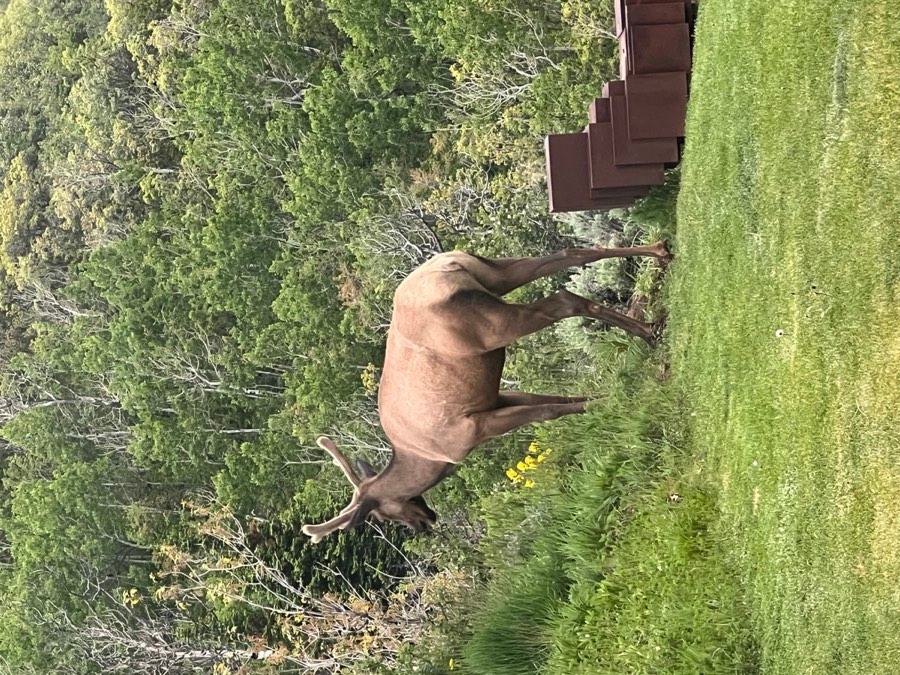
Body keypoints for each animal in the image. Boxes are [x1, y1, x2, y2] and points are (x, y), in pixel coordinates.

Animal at [302, 241, 670, 542]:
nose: (423, 523)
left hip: (493, 325)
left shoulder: (474, 427)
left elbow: (548, 411)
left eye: (381, 515)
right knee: (570, 256)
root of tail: (443, 267)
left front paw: (605, 402)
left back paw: (648, 330)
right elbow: (554, 400)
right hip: (494, 275)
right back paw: (660, 257)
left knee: (563, 301)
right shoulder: (496, 398)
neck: (429, 459)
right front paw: (601, 401)